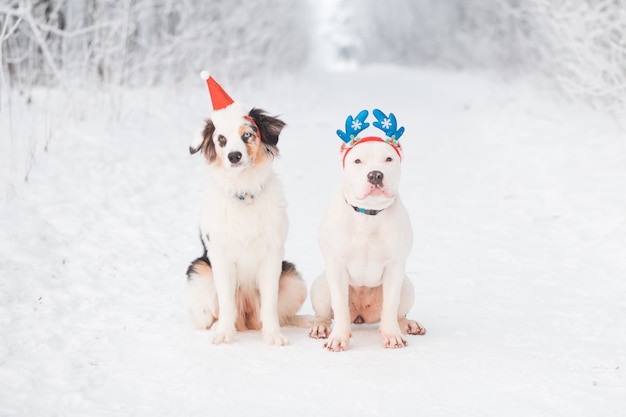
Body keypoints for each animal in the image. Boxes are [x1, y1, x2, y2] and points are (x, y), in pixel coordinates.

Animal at [186, 74, 306, 344]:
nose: (234, 156)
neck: (244, 193)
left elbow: (270, 305)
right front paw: (223, 334)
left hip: (293, 278)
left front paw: (273, 336)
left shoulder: (272, 255)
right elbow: (226, 303)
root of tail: (247, 318)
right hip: (200, 272)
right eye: (221, 139)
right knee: (209, 314)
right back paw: (216, 326)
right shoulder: (220, 256)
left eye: (247, 135)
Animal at [308, 109, 424, 350]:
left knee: (398, 313)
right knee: (324, 313)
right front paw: (338, 338)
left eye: (389, 158)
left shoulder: (395, 267)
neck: (369, 215)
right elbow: (340, 306)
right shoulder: (336, 266)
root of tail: (361, 316)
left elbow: (391, 305)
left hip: (406, 286)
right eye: (357, 160)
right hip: (321, 286)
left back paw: (407, 324)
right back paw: (320, 327)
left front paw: (392, 335)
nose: (375, 174)